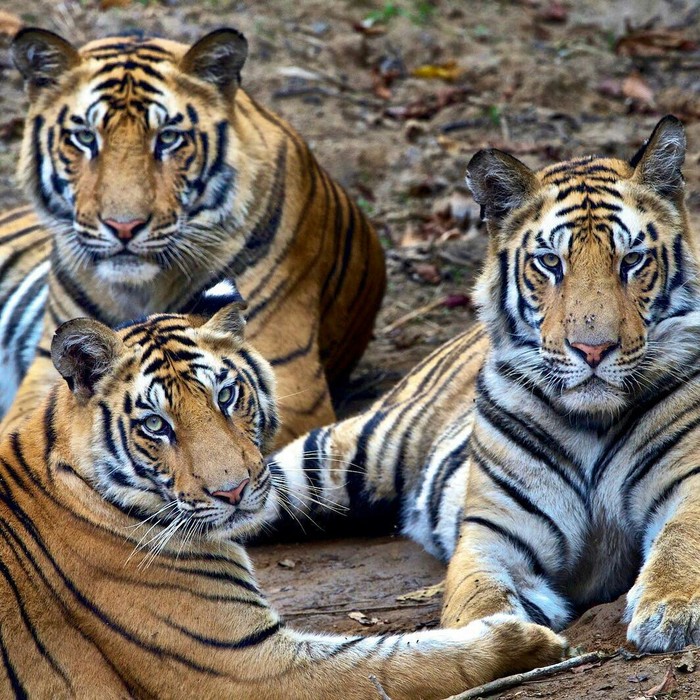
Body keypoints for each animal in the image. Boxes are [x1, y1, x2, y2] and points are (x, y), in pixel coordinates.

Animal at [0, 28, 388, 448]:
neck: (139, 290)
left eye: (169, 138)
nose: (124, 226)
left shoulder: (288, 380)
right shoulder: (49, 365)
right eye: (85, 137)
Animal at [0, 296, 564, 700]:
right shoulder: (244, 665)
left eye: (226, 396)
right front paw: (524, 640)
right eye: (156, 425)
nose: (232, 490)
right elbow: (396, 660)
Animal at [268, 113, 700, 652]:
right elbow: (474, 596)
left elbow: (683, 541)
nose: (593, 349)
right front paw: (491, 641)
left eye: (632, 260)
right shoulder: (493, 534)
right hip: (337, 457)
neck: (592, 423)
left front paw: (671, 610)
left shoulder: (689, 482)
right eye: (550, 263)